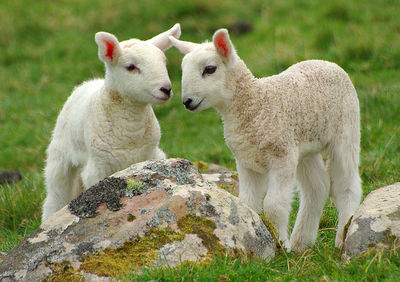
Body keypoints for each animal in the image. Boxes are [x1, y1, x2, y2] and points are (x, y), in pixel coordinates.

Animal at [41, 23, 181, 220]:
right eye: (131, 67)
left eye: (164, 62)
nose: (166, 89)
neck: (130, 131)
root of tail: (89, 83)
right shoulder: (97, 167)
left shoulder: (150, 156)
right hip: (60, 158)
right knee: (56, 196)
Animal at [170, 29, 364, 252]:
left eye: (210, 69)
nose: (187, 101)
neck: (256, 104)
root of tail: (327, 62)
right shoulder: (247, 161)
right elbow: (248, 204)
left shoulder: (281, 156)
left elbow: (273, 205)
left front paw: (280, 245)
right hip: (304, 148)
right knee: (317, 186)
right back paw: (301, 243)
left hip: (347, 131)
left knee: (347, 185)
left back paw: (341, 237)